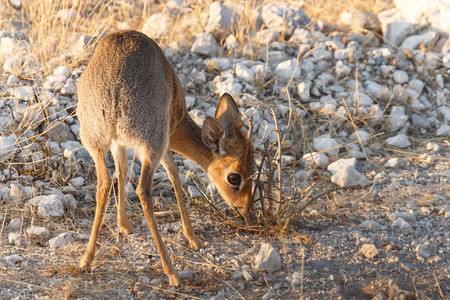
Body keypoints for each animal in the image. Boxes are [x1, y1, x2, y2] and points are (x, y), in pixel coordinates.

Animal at [76, 30, 255, 286]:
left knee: (103, 184)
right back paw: (172, 272)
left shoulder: (119, 143)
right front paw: (193, 238)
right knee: (143, 190)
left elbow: (121, 172)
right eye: (234, 177)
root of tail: (113, 97)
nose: (246, 210)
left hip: (95, 143)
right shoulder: (165, 142)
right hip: (153, 144)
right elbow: (175, 177)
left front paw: (124, 225)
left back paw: (86, 260)